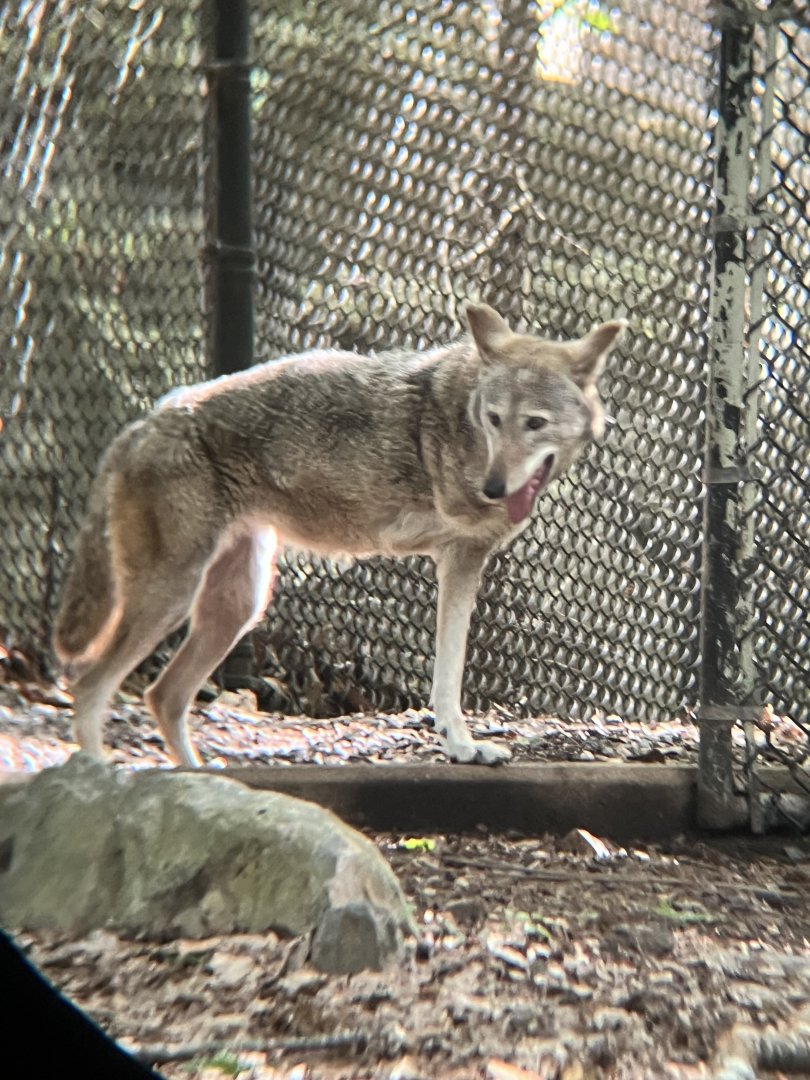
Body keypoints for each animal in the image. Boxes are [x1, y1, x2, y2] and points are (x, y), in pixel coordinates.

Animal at [54, 304, 625, 767]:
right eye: (494, 419)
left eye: (534, 423)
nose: (493, 487)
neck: (463, 422)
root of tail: (143, 423)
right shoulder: (459, 559)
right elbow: (450, 675)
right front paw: (463, 747)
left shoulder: (463, 561)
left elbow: (448, 671)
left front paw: (459, 744)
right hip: (172, 596)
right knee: (88, 685)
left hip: (237, 607)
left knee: (162, 696)